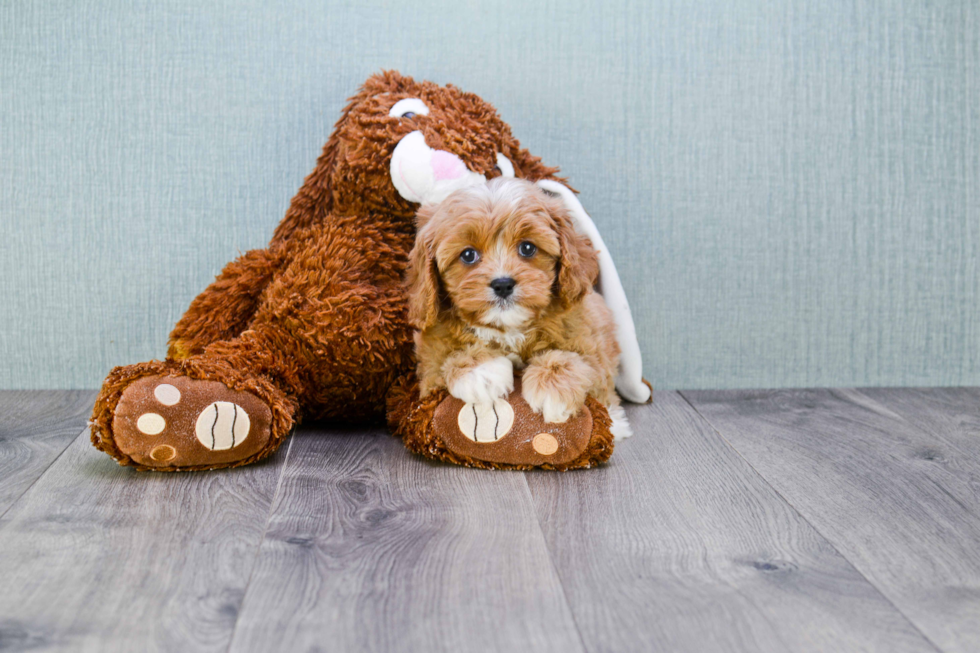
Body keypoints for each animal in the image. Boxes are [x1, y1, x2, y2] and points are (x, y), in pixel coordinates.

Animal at [408, 177, 632, 438]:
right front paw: (481, 371)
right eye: (468, 255)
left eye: (527, 248)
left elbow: (585, 363)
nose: (503, 284)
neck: (508, 329)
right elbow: (441, 361)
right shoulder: (429, 357)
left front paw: (553, 390)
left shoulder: (591, 337)